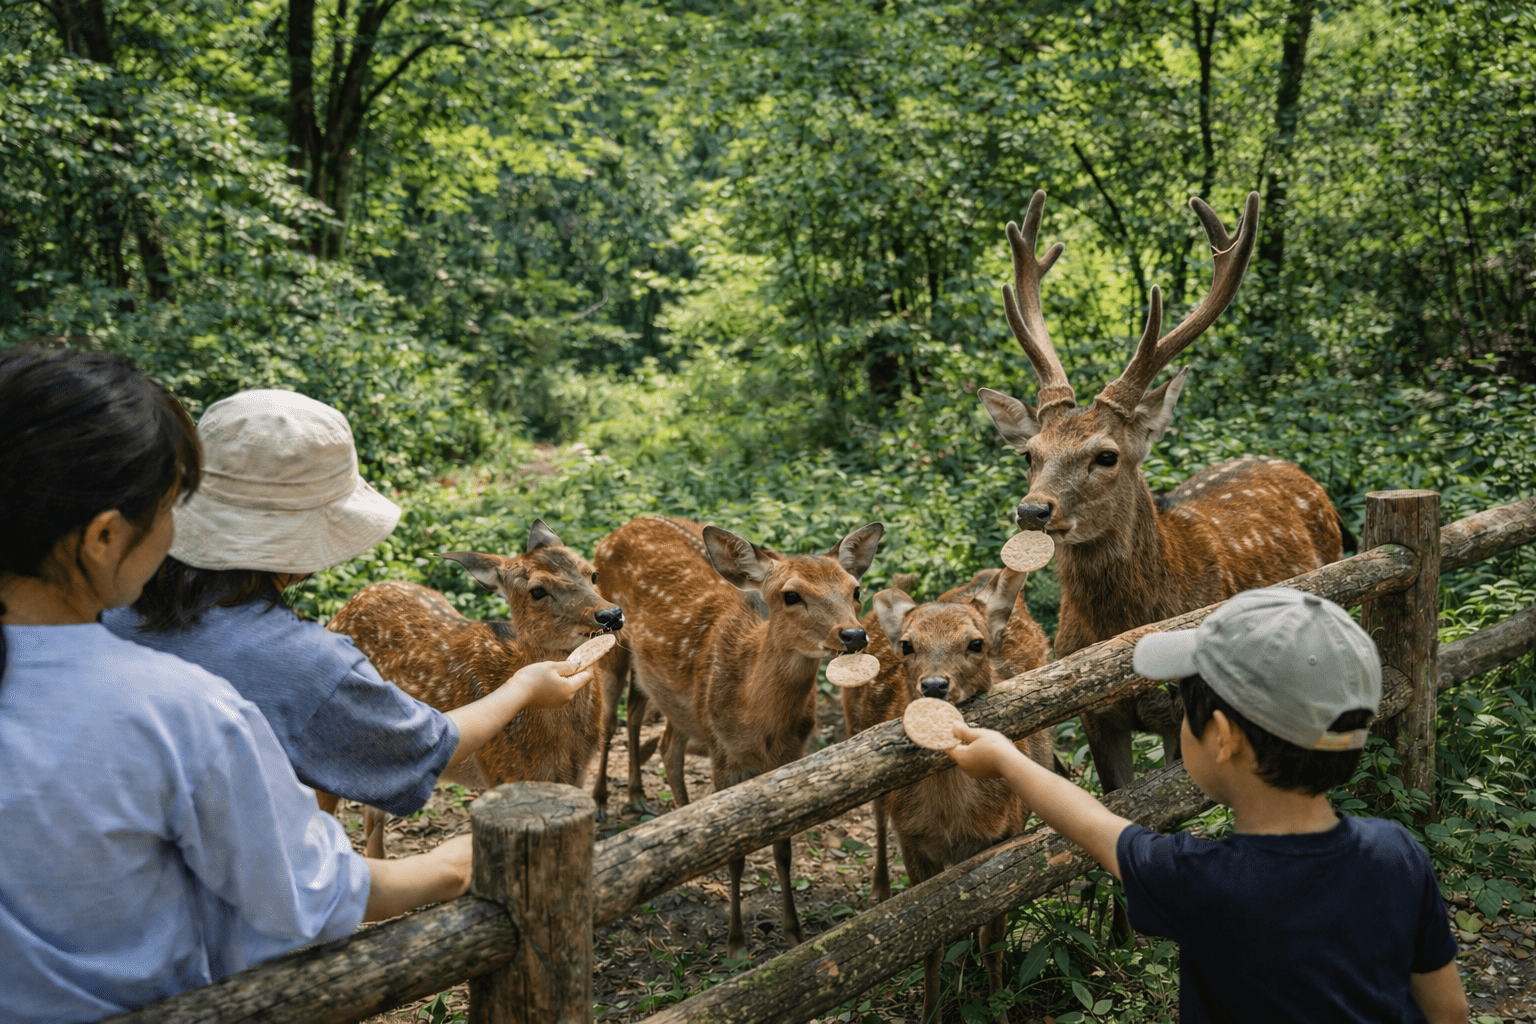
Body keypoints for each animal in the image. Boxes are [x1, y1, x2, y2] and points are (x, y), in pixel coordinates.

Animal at [327, 519, 623, 856]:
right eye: (537, 590)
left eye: (592, 574)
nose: (611, 615)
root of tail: (355, 598)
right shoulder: (501, 771)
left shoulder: (575, 774)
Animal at [592, 515, 883, 958]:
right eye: (791, 595)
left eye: (856, 589)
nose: (853, 635)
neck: (757, 721)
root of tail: (621, 528)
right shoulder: (723, 754)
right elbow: (737, 853)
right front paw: (736, 943)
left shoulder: (788, 758)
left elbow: (783, 849)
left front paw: (794, 933)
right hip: (609, 636)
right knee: (611, 723)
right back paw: (602, 804)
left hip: (673, 693)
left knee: (661, 738)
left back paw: (649, 803)